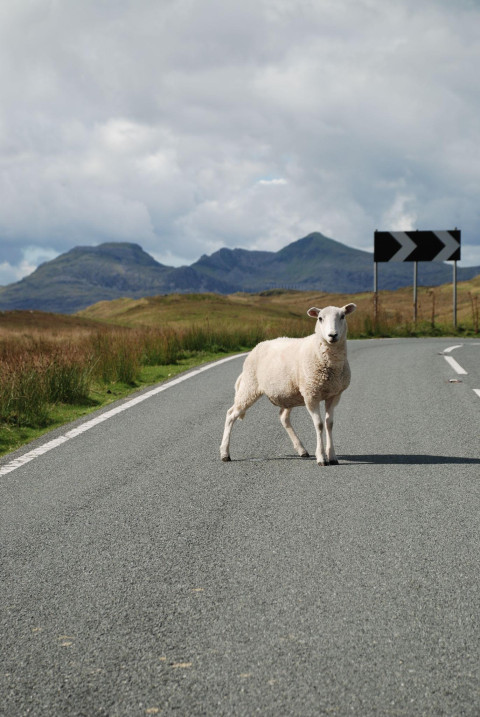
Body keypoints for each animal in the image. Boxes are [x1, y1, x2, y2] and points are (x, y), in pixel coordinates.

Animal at [220, 303, 356, 465]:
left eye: (342, 316)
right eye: (320, 318)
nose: (332, 335)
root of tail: (258, 346)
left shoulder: (334, 394)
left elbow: (329, 423)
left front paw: (332, 456)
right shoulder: (311, 395)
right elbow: (319, 424)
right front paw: (321, 457)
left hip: (287, 394)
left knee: (283, 418)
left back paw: (301, 450)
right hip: (250, 385)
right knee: (230, 414)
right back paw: (225, 453)